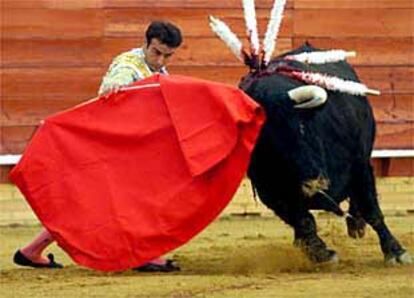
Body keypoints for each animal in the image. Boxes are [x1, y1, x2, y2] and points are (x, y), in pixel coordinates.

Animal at [239, 43, 410, 264]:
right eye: (263, 143)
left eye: (301, 127)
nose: (313, 184)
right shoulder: (270, 192)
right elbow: (303, 220)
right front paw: (321, 253)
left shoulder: (360, 165)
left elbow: (371, 209)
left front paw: (396, 252)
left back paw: (356, 223)